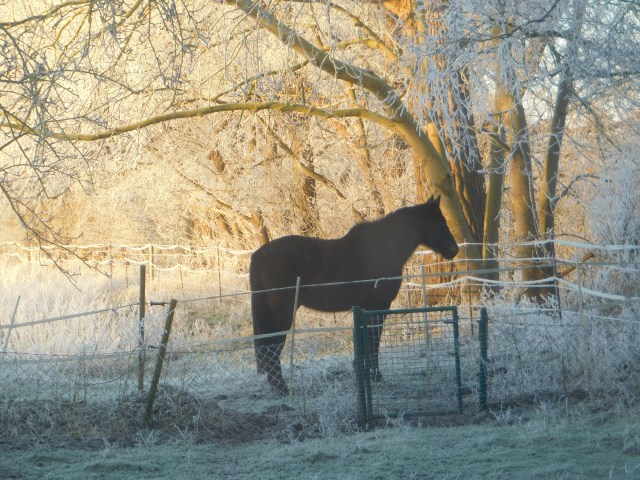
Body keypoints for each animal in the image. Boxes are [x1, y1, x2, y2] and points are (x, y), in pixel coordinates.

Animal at [249, 195, 459, 394]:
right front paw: (376, 376)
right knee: (273, 347)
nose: (454, 250)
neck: (382, 250)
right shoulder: (379, 306)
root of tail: (258, 255)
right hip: (282, 314)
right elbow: (374, 339)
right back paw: (283, 388)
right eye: (440, 221)